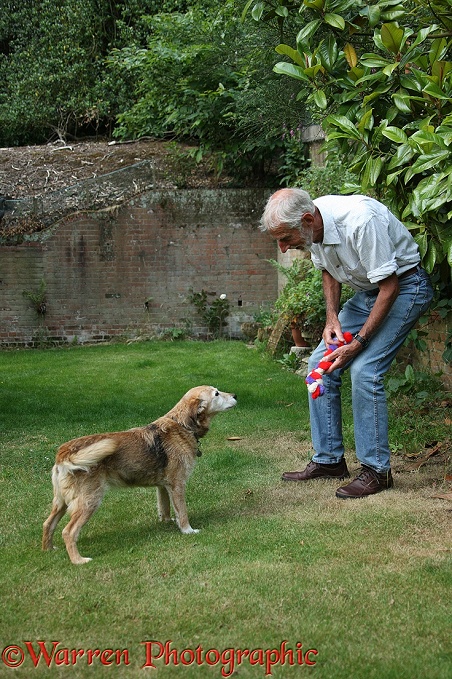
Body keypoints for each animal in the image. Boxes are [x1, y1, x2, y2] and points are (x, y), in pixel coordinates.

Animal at [42, 386, 237, 564]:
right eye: (216, 394)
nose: (235, 395)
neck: (182, 426)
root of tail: (64, 453)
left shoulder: (163, 486)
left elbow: (165, 508)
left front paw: (167, 522)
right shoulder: (177, 485)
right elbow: (182, 512)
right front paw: (187, 530)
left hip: (61, 502)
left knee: (48, 524)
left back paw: (48, 550)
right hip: (89, 501)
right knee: (68, 532)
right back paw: (78, 560)